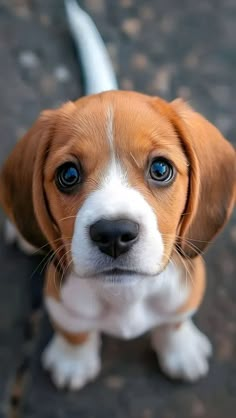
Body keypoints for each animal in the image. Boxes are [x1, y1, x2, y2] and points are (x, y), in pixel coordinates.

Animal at [0, 91, 235, 388]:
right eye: (68, 174)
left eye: (161, 169)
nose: (113, 234)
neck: (126, 295)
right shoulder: (61, 300)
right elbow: (74, 330)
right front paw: (73, 360)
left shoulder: (186, 292)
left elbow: (175, 319)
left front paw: (182, 349)